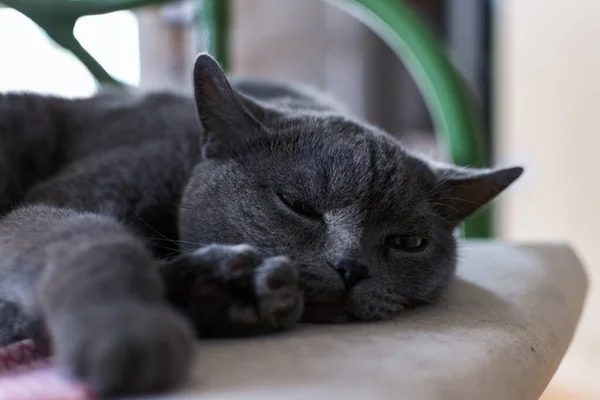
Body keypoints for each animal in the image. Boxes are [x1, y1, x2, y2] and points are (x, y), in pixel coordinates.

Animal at [0, 54, 520, 396]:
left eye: (408, 241)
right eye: (297, 204)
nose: (350, 267)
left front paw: (231, 292)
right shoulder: (76, 196)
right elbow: (96, 243)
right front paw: (129, 333)